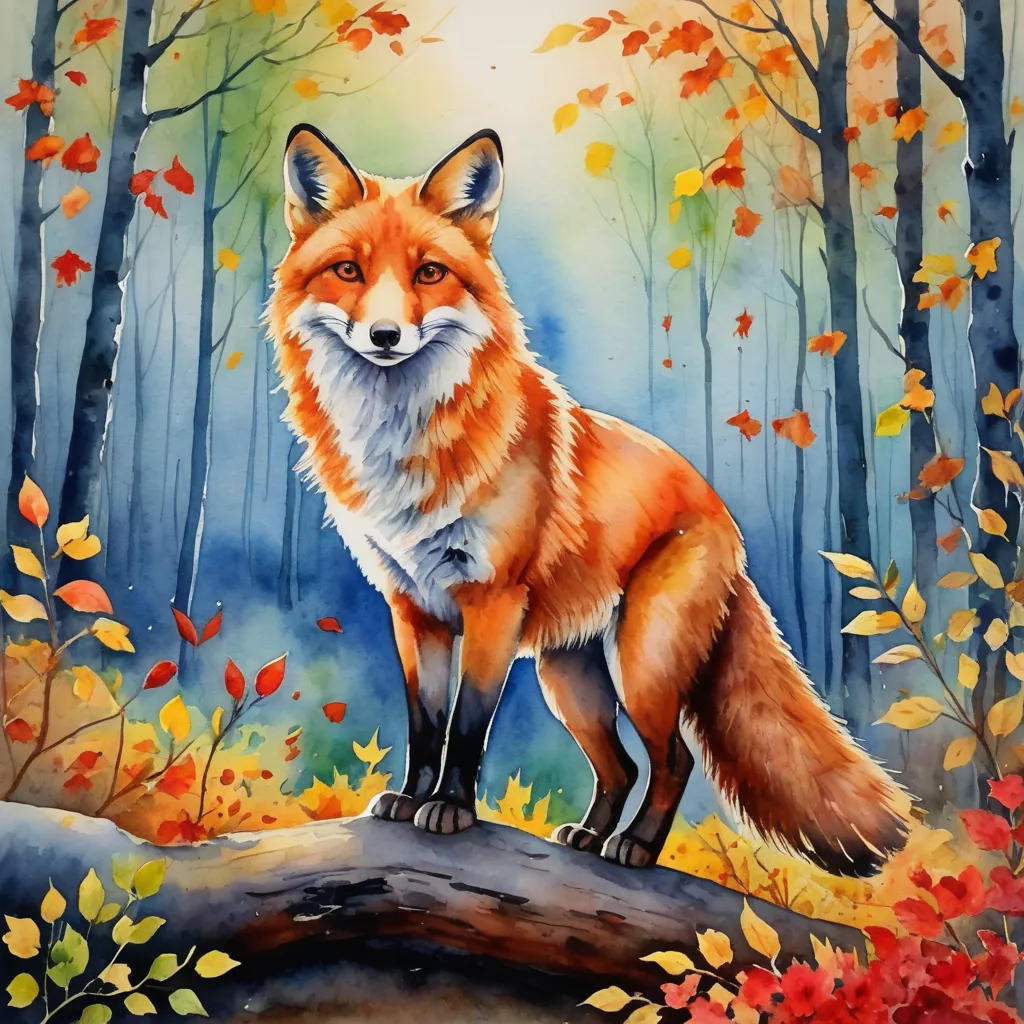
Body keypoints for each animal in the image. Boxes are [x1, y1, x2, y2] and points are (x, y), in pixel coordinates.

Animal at [267, 123, 910, 875]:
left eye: (429, 273)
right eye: (349, 271)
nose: (386, 336)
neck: (405, 444)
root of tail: (722, 514)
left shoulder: (491, 603)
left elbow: (467, 727)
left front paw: (452, 809)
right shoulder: (413, 610)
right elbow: (425, 727)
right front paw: (411, 797)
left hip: (641, 668)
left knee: (672, 761)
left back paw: (635, 847)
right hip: (568, 677)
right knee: (621, 768)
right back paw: (589, 836)